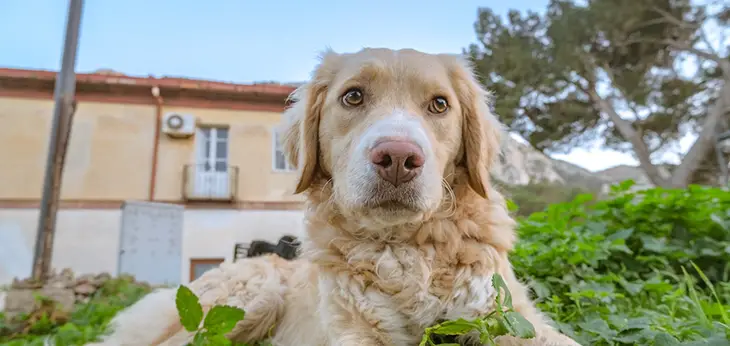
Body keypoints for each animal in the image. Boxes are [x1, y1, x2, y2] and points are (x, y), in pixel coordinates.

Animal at [85, 48, 576, 346]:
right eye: (353, 96)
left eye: (440, 104)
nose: (398, 157)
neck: (405, 248)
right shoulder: (354, 331)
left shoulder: (508, 315)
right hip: (247, 301)